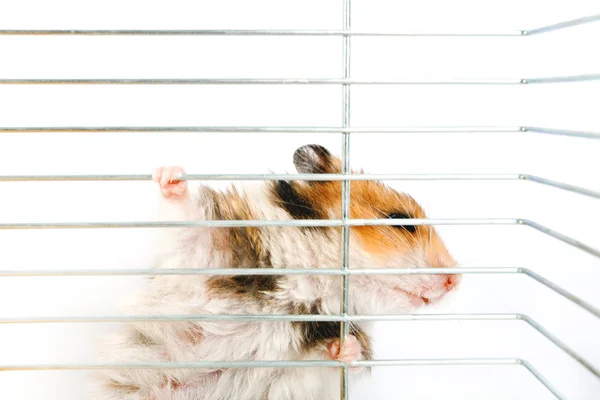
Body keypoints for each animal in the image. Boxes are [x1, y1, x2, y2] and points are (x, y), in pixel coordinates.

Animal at [92, 145, 460, 400]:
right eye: (400, 220)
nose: (456, 279)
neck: (307, 285)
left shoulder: (298, 375)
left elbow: (333, 362)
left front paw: (347, 348)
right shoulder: (205, 252)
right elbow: (188, 220)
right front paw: (169, 175)